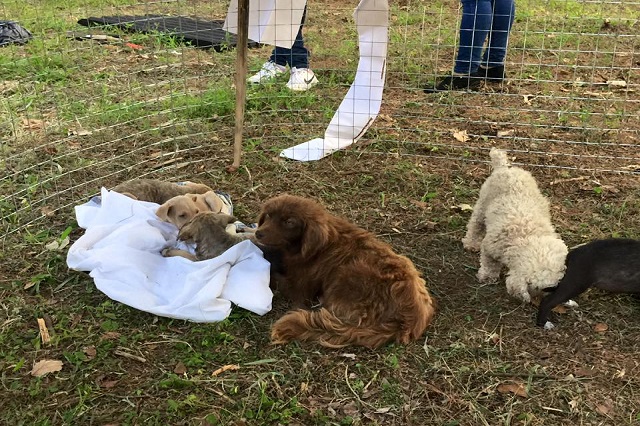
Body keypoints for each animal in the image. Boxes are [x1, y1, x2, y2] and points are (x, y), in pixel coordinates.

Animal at [254, 195, 436, 348]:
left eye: (289, 222)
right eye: (268, 215)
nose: (258, 233)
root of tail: (407, 321)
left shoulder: (300, 289)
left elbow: (275, 277)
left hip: (347, 275)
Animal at [462, 148, 568, 302]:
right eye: (544, 289)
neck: (528, 236)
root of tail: (504, 168)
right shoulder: (489, 248)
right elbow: (489, 263)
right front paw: (487, 276)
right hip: (482, 204)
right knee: (475, 225)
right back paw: (471, 243)